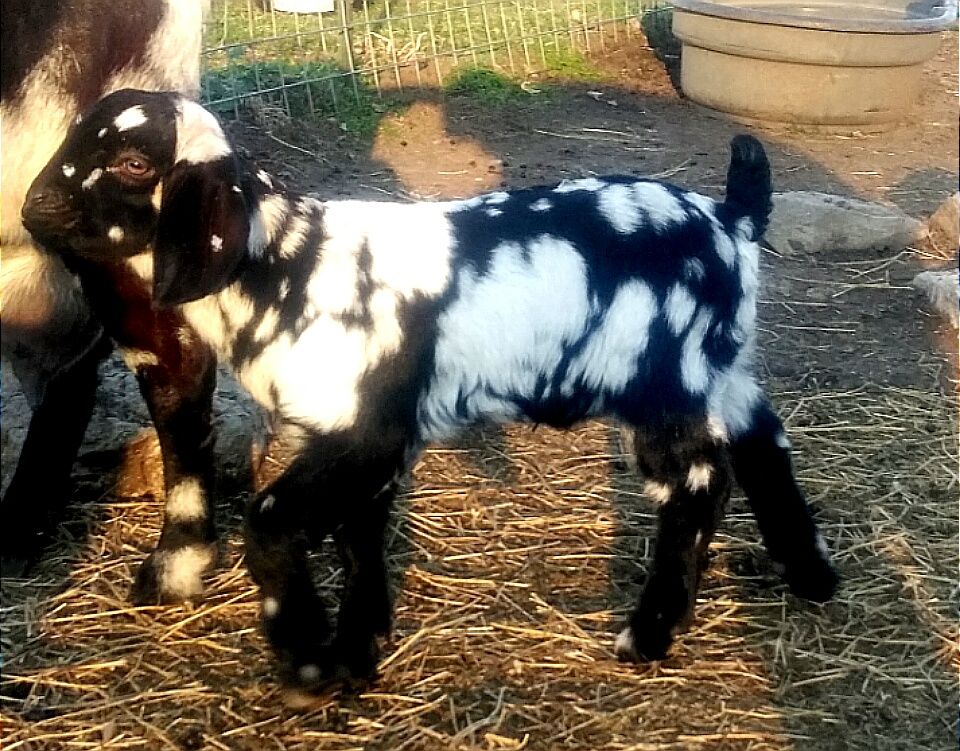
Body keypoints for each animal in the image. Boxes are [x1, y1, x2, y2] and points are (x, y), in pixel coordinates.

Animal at [23, 89, 839, 697]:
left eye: (133, 161)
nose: (34, 210)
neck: (281, 268)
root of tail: (731, 221)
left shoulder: (365, 428)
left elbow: (272, 516)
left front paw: (307, 663)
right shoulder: (363, 440)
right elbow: (358, 538)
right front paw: (356, 652)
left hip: (663, 381)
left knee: (699, 487)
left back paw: (650, 633)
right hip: (723, 367)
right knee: (765, 444)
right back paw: (811, 575)